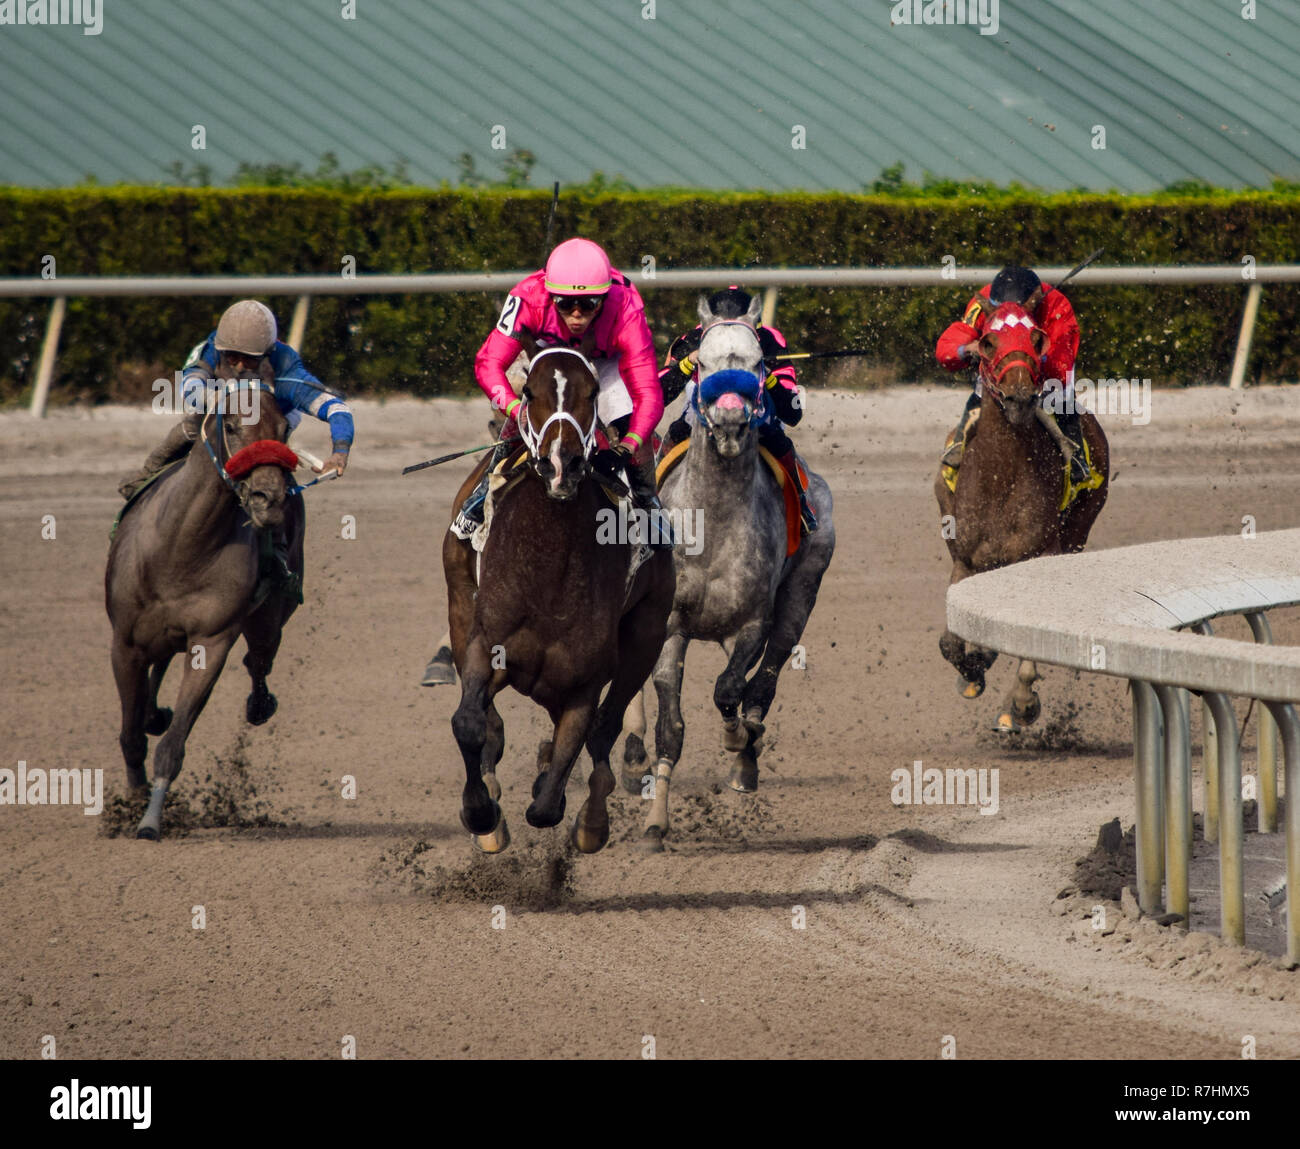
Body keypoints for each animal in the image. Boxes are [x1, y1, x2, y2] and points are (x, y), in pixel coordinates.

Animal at [105, 382, 306, 837]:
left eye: (284, 429)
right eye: (230, 424)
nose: (269, 498)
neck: (181, 548)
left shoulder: (210, 642)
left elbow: (174, 743)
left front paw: (150, 819)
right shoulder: (125, 644)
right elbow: (129, 735)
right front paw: (133, 801)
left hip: (271, 616)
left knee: (258, 658)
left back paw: (257, 704)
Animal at [444, 340, 676, 852]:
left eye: (593, 393)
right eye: (529, 392)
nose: (559, 465)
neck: (549, 573)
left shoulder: (584, 681)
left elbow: (552, 798)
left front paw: (583, 817)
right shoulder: (485, 643)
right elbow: (470, 723)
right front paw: (481, 814)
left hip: (646, 635)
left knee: (605, 729)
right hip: (458, 599)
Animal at [624, 293, 837, 852]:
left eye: (759, 363)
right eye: (701, 362)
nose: (729, 422)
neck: (712, 523)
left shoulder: (752, 622)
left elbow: (729, 692)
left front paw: (739, 742)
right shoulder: (671, 626)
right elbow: (673, 725)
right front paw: (655, 824)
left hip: (801, 592)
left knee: (763, 680)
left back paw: (747, 754)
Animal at [935, 300, 1107, 733]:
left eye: (1036, 337)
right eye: (988, 340)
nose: (1019, 398)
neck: (1001, 476)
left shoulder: (1039, 556)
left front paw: (1021, 704)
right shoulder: (965, 561)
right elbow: (950, 643)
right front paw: (973, 670)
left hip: (1079, 529)